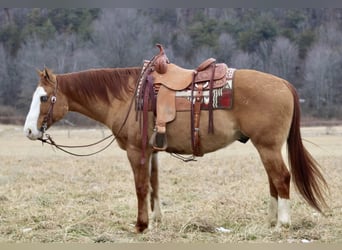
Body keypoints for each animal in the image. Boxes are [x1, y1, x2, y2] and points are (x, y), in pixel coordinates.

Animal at [24, 62, 328, 232]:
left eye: (43, 98)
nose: (28, 131)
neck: (127, 97)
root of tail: (284, 84)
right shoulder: (150, 152)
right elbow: (154, 185)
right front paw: (156, 219)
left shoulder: (136, 151)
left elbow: (141, 187)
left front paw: (141, 225)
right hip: (265, 148)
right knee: (273, 181)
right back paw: (270, 221)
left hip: (268, 146)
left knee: (282, 178)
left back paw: (282, 224)